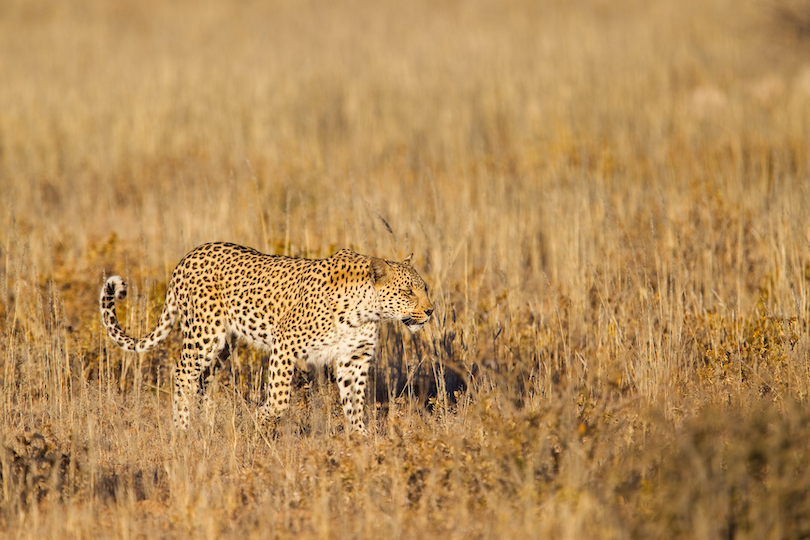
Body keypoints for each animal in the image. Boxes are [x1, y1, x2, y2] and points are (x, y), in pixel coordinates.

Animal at [98, 242, 432, 434]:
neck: (366, 310)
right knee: (183, 373)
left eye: (424, 288)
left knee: (204, 380)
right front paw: (263, 419)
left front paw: (360, 439)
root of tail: (189, 255)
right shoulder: (286, 343)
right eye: (408, 291)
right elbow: (280, 397)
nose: (430, 311)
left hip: (224, 345)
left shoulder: (354, 358)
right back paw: (183, 430)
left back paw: (204, 425)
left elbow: (354, 402)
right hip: (205, 334)